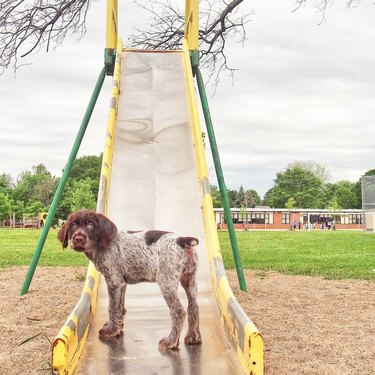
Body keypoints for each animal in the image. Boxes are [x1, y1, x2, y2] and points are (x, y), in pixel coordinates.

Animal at [57, 210, 203, 352]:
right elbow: (120, 308)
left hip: (166, 281)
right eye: (73, 225)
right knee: (194, 307)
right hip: (189, 280)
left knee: (178, 311)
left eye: (91, 224)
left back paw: (171, 341)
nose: (78, 239)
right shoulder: (121, 283)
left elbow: (112, 308)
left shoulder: (114, 282)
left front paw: (111, 330)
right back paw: (193, 337)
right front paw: (118, 326)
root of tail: (181, 240)